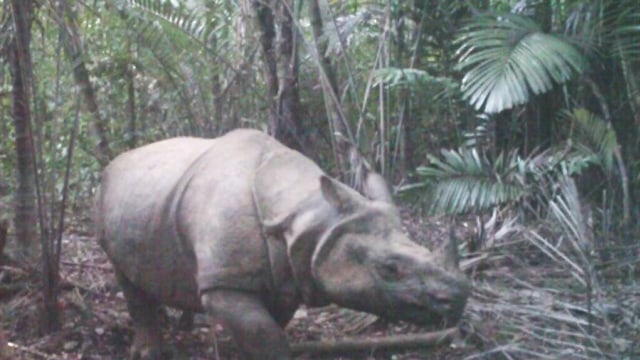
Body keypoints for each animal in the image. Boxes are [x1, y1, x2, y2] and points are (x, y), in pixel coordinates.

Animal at [95, 129, 470, 360]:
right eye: (389, 269)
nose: (457, 300)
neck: (308, 214)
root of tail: (121, 158)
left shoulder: (287, 276)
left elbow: (268, 327)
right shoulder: (226, 282)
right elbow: (267, 335)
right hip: (107, 190)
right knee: (124, 273)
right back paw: (151, 350)